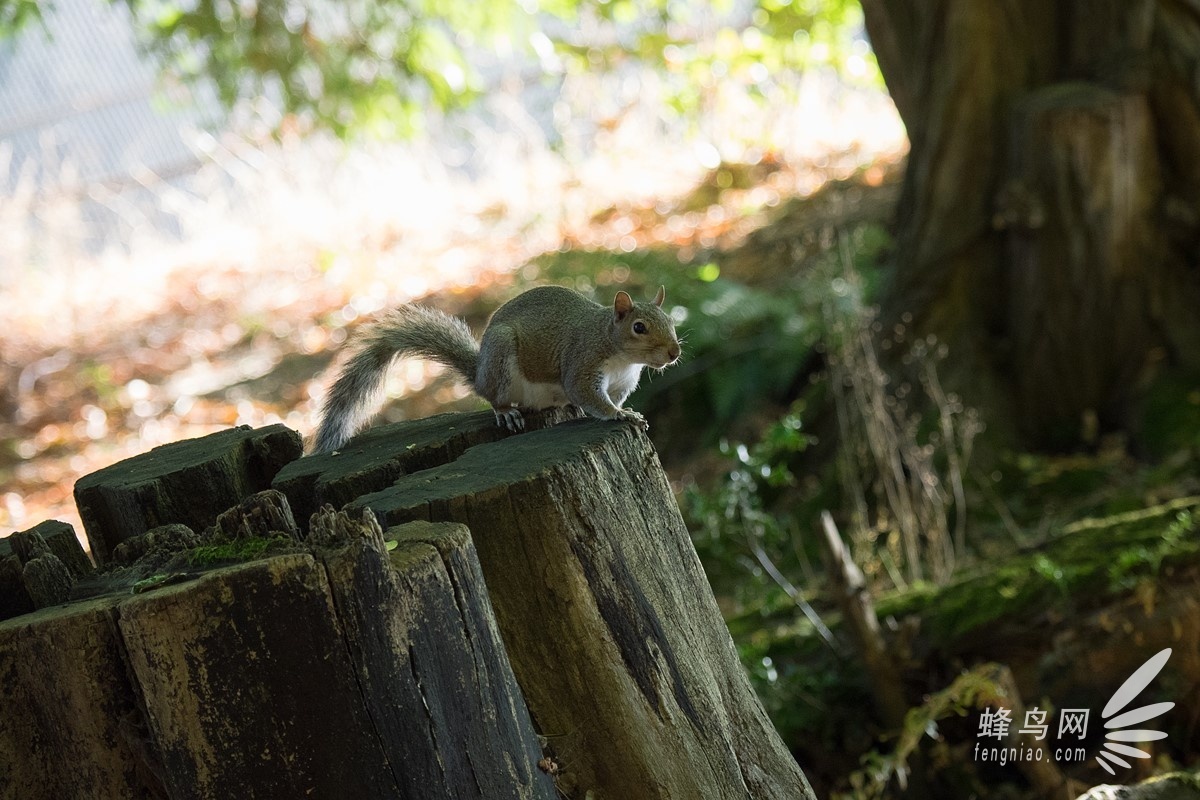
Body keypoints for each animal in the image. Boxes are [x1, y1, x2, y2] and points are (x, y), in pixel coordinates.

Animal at [309, 284, 681, 453]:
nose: (675, 353)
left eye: (671, 321)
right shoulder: (583, 363)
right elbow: (588, 395)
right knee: (496, 398)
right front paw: (622, 416)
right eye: (639, 327)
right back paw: (506, 412)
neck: (622, 357)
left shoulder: (621, 383)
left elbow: (610, 399)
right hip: (501, 362)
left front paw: (628, 412)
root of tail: (479, 375)